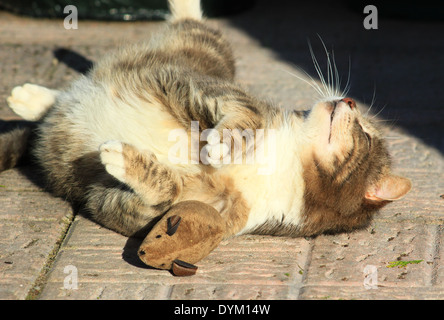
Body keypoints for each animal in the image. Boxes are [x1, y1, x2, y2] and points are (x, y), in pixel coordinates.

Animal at [0, 0, 410, 240]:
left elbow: (164, 192)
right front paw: (221, 142)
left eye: (367, 134)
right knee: (192, 24)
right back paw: (29, 96)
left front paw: (124, 159)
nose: (350, 99)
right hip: (206, 53)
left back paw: (29, 100)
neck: (285, 162)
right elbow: (245, 115)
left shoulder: (188, 213)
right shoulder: (226, 93)